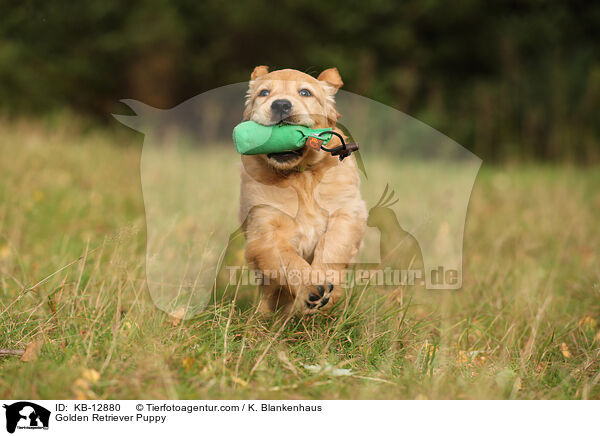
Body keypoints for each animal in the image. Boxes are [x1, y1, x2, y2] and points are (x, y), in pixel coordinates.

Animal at [239, 66, 366, 316]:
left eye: (305, 92)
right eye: (264, 92)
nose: (280, 104)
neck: (301, 176)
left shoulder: (347, 212)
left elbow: (332, 245)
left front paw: (327, 284)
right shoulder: (264, 230)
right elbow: (288, 259)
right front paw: (311, 286)